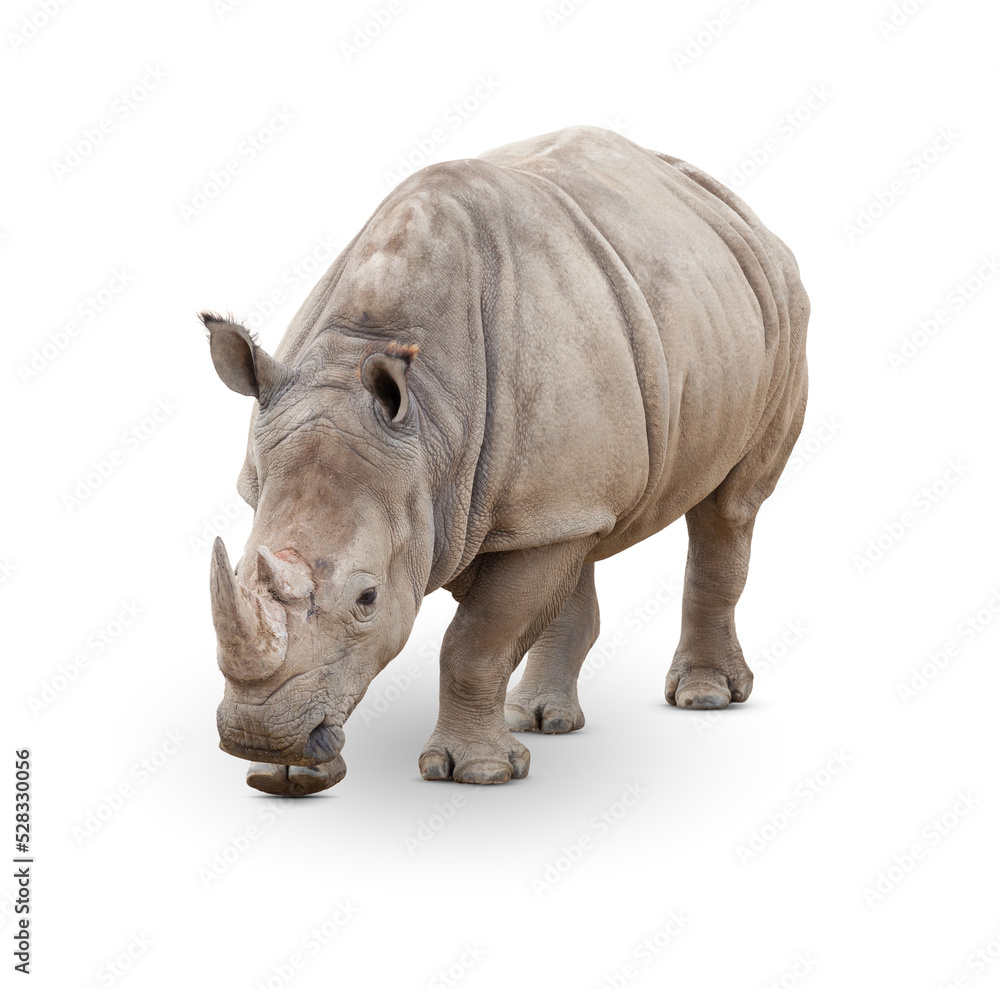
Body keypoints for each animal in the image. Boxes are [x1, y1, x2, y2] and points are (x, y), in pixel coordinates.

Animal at [203, 125, 809, 795]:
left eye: (368, 599)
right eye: (234, 575)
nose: (258, 733)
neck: (428, 428)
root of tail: (732, 207)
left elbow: (476, 639)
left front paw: (479, 774)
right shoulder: (482, 499)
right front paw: (281, 774)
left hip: (779, 305)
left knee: (729, 507)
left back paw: (705, 698)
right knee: (581, 533)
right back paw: (540, 720)